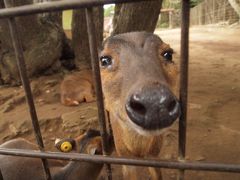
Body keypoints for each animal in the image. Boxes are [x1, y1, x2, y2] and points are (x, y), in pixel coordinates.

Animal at [99, 31, 180, 179]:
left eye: (168, 54)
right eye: (105, 60)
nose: (154, 103)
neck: (138, 150)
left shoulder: (154, 153)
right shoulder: (125, 157)